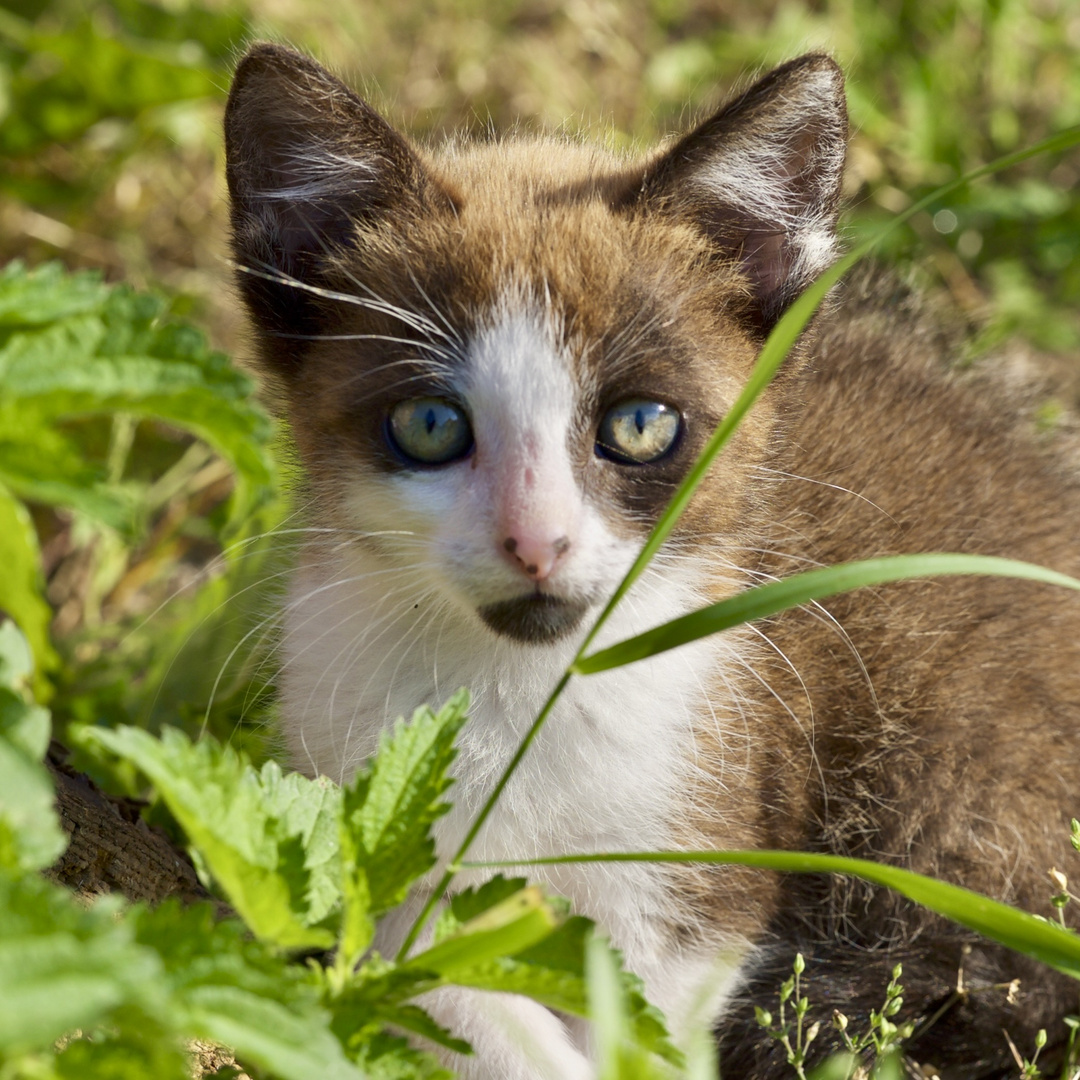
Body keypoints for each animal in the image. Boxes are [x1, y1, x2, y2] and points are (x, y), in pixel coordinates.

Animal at [225, 44, 1080, 1080]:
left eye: (640, 425)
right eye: (428, 424)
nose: (537, 541)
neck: (521, 691)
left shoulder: (701, 851)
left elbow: (647, 1022)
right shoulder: (364, 825)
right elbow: (448, 997)